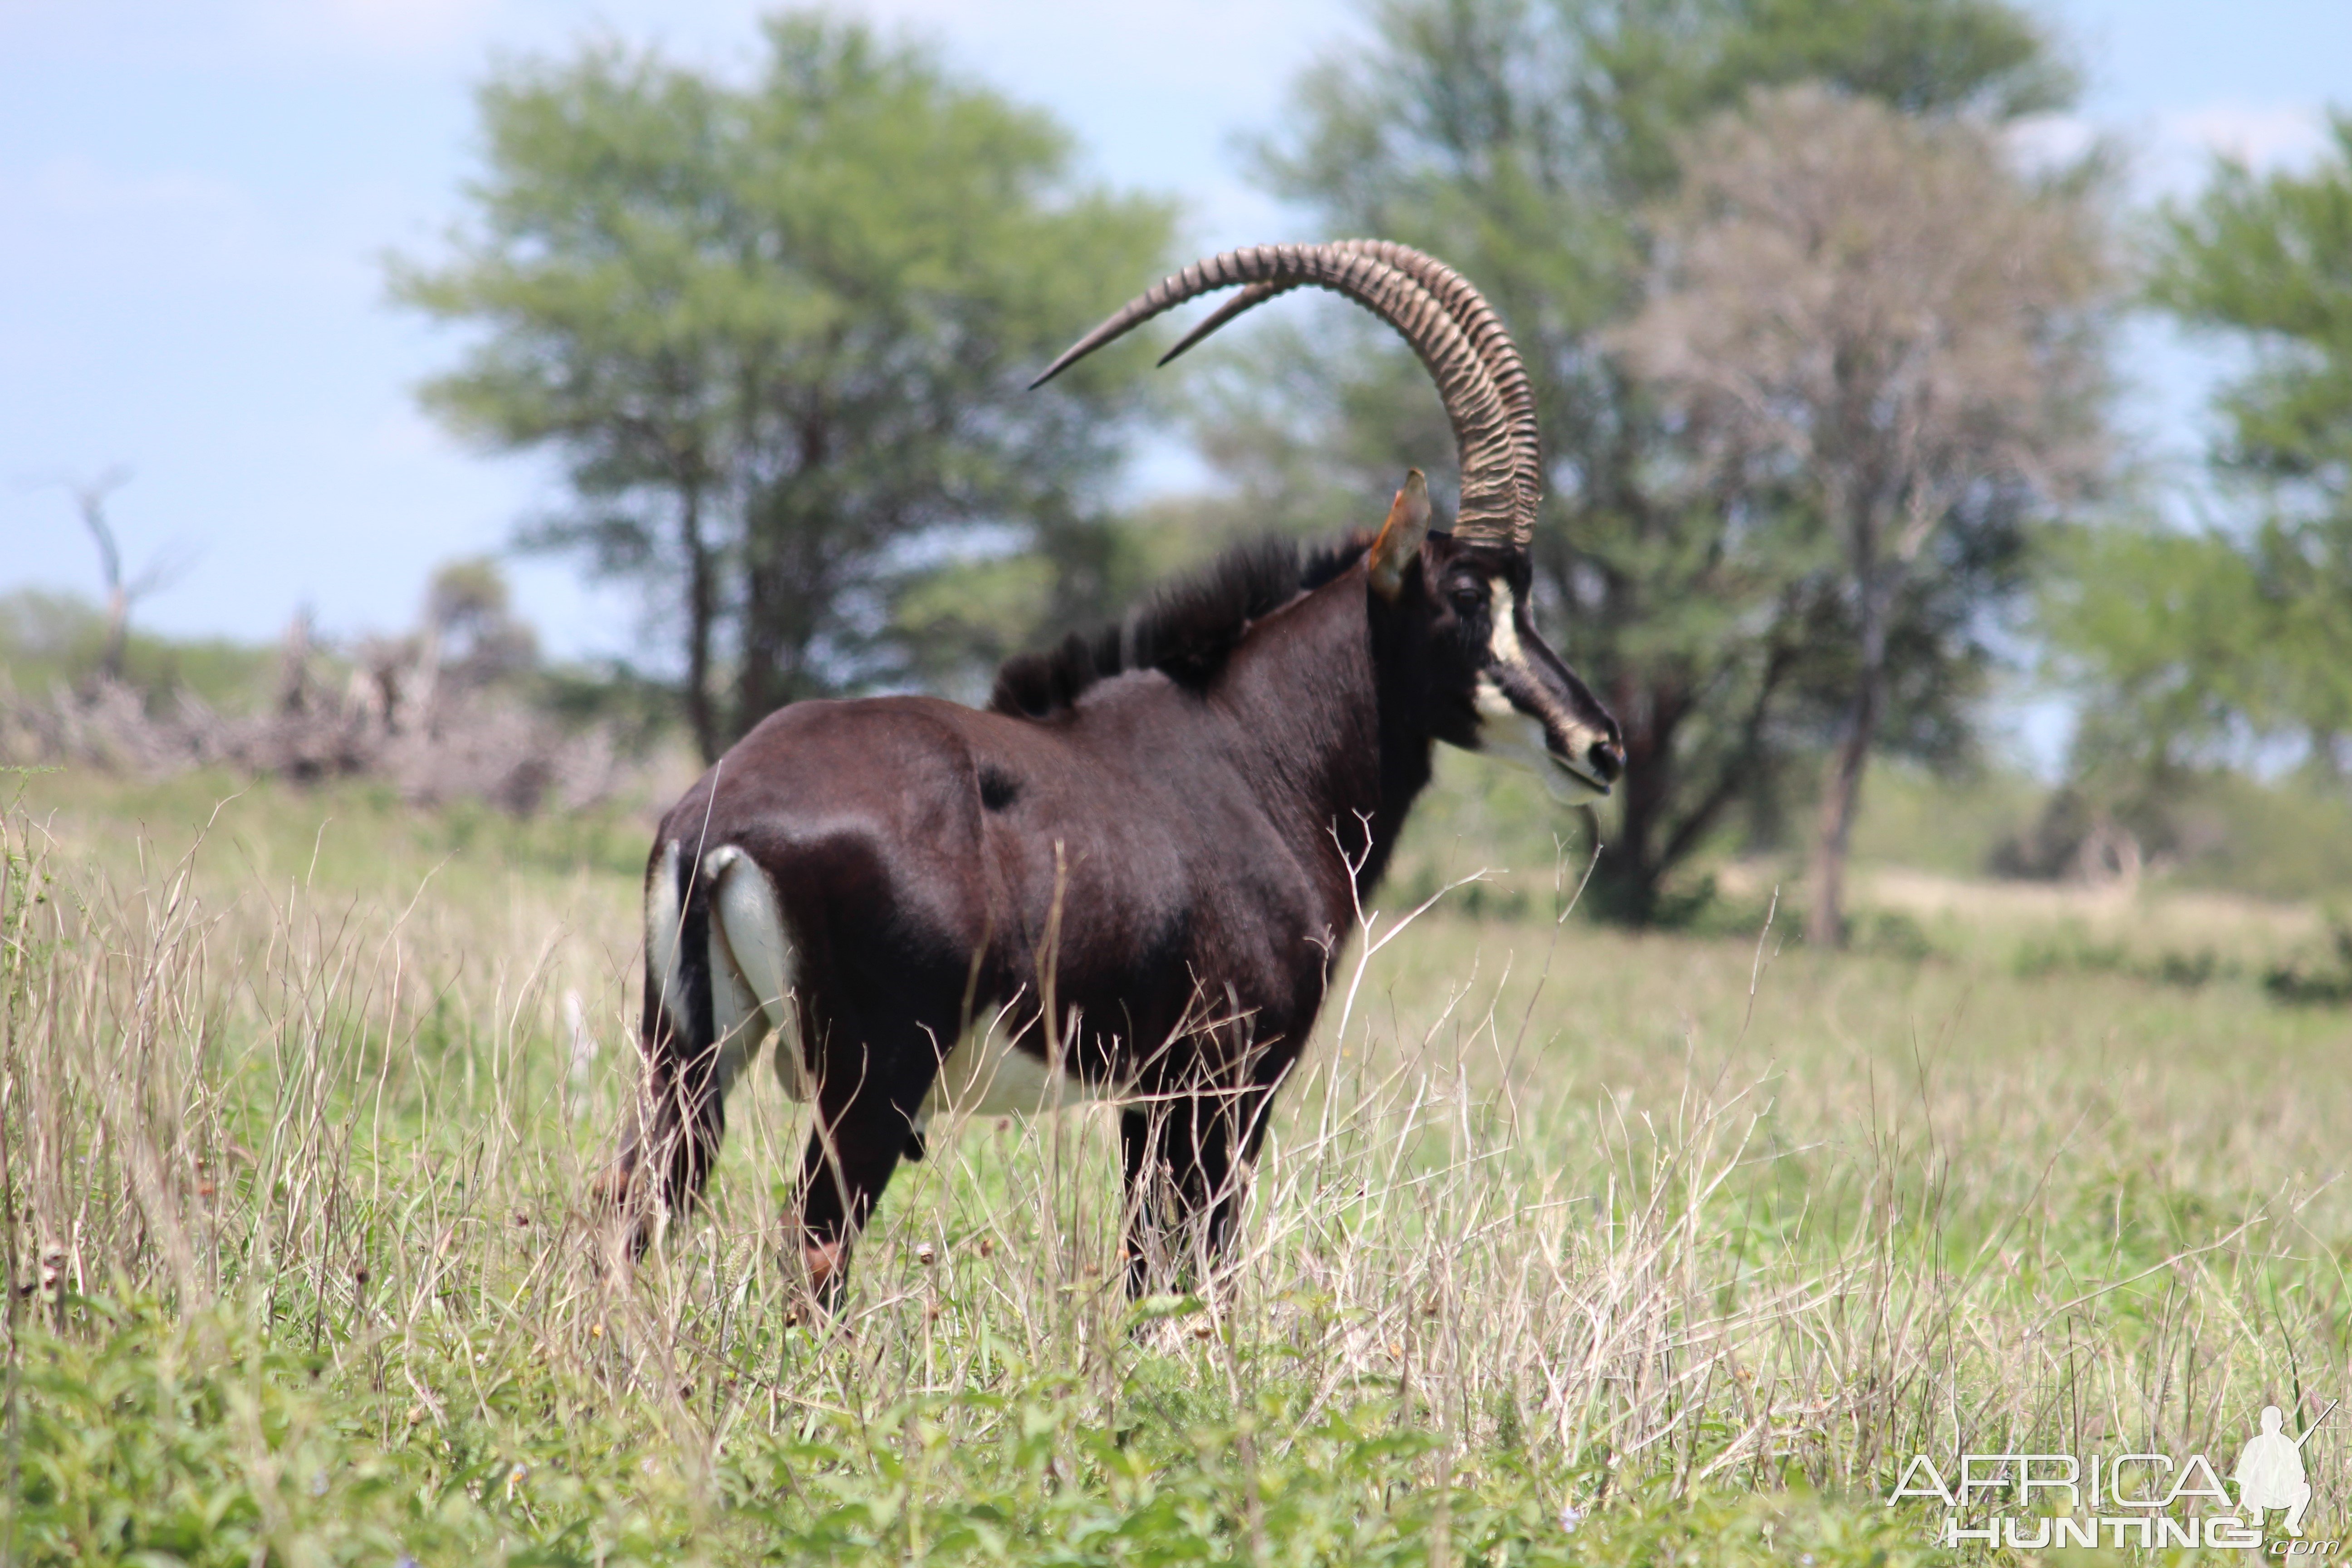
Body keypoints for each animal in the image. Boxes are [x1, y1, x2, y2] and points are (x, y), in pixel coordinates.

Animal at [597, 240, 1627, 1307]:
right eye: (1466, 593)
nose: (1601, 745)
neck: (1249, 751)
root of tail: (721, 818)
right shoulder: (1226, 1080)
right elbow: (1198, 1263)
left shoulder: (1151, 1093)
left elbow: (1146, 1264)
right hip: (873, 1081)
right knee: (814, 1244)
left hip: (689, 1053)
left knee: (639, 1205)